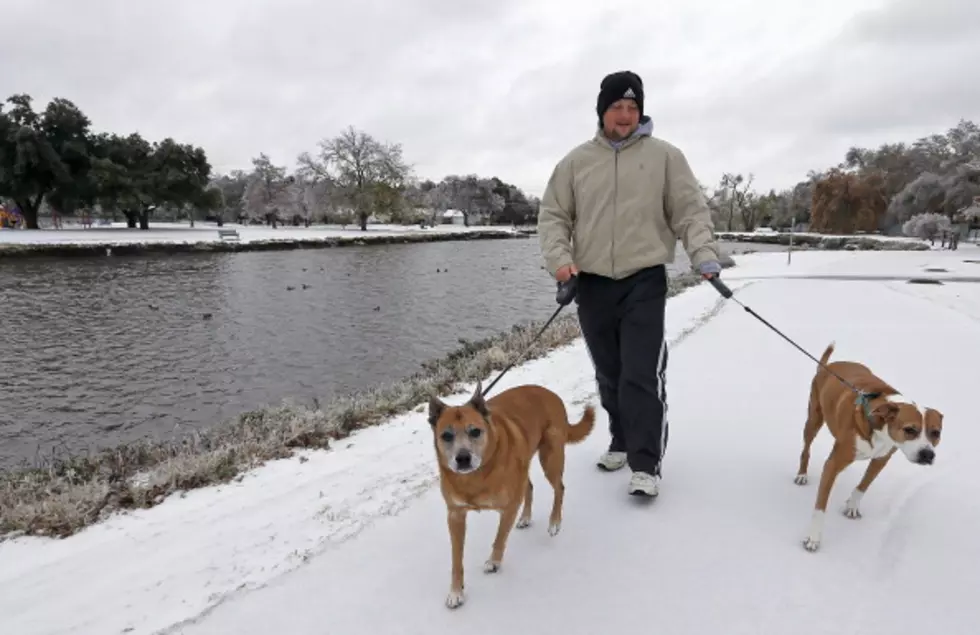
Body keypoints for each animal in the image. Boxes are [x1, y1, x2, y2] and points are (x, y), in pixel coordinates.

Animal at [430, 380, 596, 608]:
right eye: (446, 436)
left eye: (475, 431)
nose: (462, 458)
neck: (476, 476)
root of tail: (550, 394)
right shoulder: (455, 515)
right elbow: (456, 559)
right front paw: (456, 591)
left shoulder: (508, 506)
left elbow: (500, 537)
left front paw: (494, 561)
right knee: (530, 487)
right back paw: (526, 518)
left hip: (550, 458)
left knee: (559, 488)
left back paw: (554, 521)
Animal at [796, 342, 940, 552]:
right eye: (910, 429)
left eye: (936, 433)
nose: (927, 455)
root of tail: (827, 366)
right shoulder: (834, 463)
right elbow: (820, 506)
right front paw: (813, 537)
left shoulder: (882, 458)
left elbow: (864, 485)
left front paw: (852, 505)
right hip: (813, 419)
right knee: (806, 449)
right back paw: (802, 474)